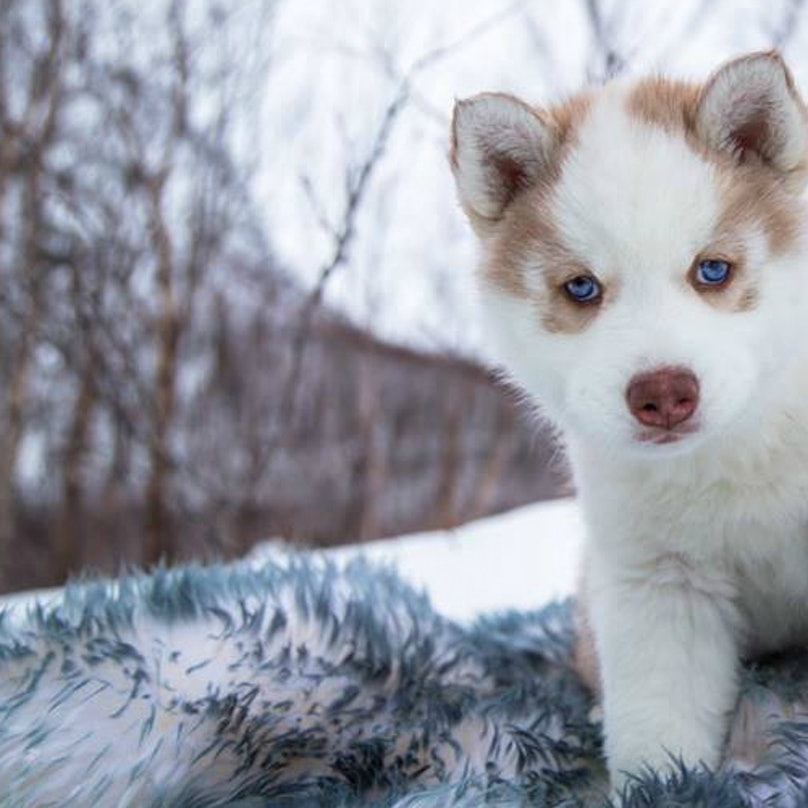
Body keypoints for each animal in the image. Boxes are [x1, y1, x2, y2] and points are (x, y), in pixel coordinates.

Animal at [452, 53, 808, 792]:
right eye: (581, 288)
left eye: (712, 269)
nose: (664, 393)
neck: (744, 447)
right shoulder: (658, 583)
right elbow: (657, 723)